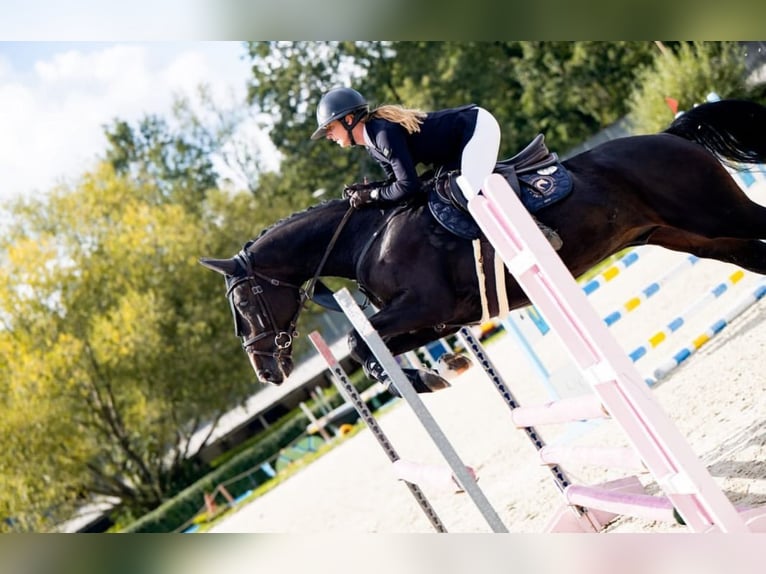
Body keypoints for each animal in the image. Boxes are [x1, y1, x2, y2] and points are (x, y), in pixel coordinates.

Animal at [201, 100, 766, 396]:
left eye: (244, 304)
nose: (266, 372)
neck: (367, 238)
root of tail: (672, 134)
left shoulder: (423, 305)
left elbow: (359, 344)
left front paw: (429, 379)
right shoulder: (439, 319)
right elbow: (372, 351)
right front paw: (439, 371)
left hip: (718, 214)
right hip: (690, 235)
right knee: (753, 257)